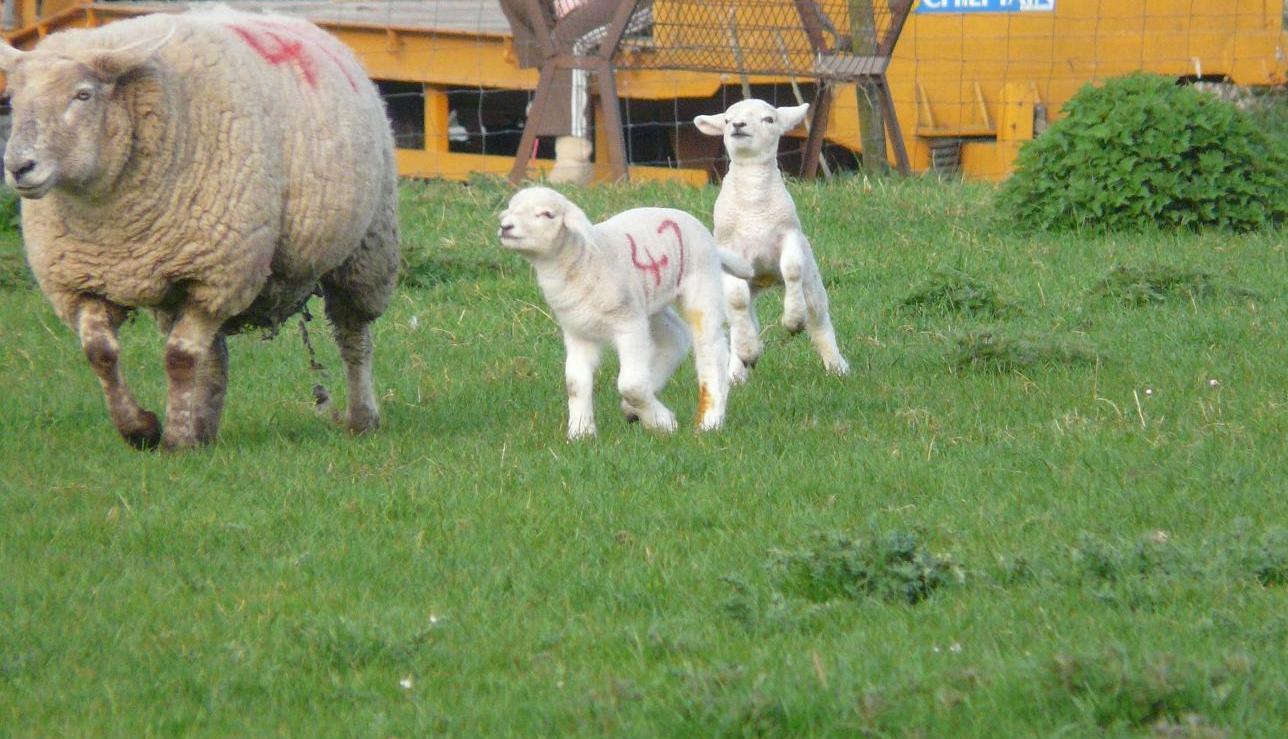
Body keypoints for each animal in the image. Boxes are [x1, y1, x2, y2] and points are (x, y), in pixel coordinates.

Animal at [0, 7, 399, 449]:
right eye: (13, 100)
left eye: (83, 95)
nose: (18, 167)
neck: (111, 218)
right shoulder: (81, 282)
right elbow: (101, 354)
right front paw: (141, 428)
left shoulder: (217, 276)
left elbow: (178, 358)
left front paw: (173, 439)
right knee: (213, 357)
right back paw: (204, 430)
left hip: (366, 248)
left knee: (353, 334)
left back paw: (362, 418)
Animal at [497, 186, 753, 439]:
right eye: (511, 207)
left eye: (547, 214)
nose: (505, 227)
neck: (582, 263)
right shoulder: (578, 331)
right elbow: (575, 383)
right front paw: (581, 432)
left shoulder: (628, 324)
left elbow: (631, 384)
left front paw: (663, 423)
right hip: (650, 303)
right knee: (676, 336)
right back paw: (636, 406)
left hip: (700, 286)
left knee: (711, 349)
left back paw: (710, 421)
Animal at [694, 99, 850, 384]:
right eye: (726, 120)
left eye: (769, 119)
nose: (738, 125)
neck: (754, 203)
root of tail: (765, 281)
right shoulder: (729, 248)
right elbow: (738, 300)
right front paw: (748, 352)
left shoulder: (789, 234)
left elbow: (792, 270)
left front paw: (793, 320)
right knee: (741, 318)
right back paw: (739, 368)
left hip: (812, 280)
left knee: (819, 319)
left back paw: (837, 366)